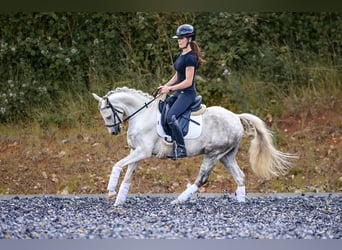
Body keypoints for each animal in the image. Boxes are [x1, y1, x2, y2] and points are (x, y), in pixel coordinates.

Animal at [91, 87, 296, 206]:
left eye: (107, 114)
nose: (113, 131)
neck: (142, 115)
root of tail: (236, 116)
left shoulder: (142, 152)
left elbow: (117, 165)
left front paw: (110, 192)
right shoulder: (136, 152)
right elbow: (128, 176)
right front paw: (118, 200)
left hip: (213, 154)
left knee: (202, 179)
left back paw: (178, 201)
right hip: (226, 156)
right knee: (239, 176)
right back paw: (240, 203)